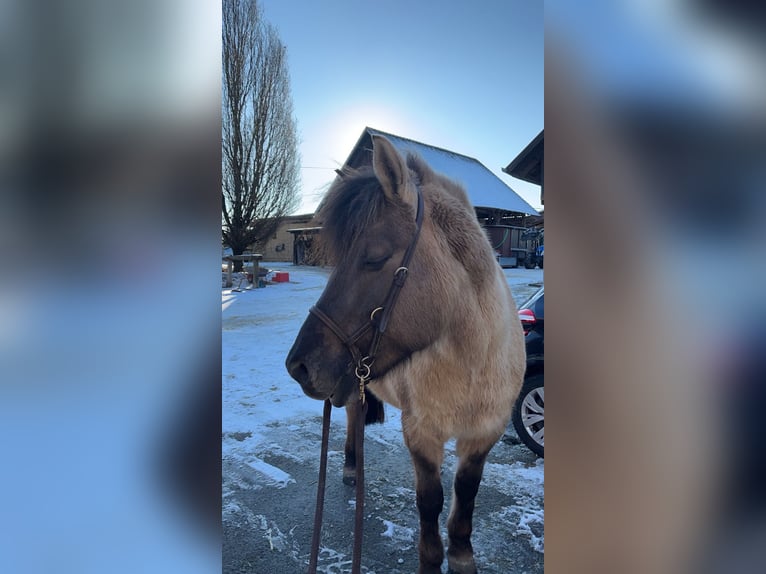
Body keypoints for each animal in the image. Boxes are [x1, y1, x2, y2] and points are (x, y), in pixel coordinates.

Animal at [288, 136, 528, 574]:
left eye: (375, 257)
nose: (298, 366)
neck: (473, 365)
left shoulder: (484, 433)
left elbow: (466, 492)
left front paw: (462, 554)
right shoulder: (420, 433)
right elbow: (429, 501)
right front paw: (432, 561)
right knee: (353, 418)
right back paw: (352, 467)